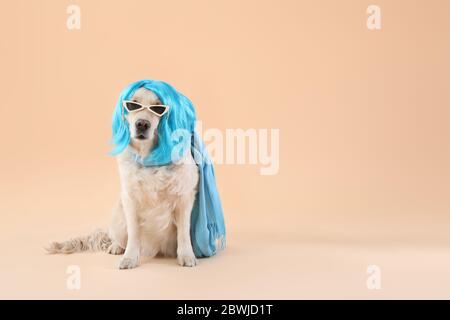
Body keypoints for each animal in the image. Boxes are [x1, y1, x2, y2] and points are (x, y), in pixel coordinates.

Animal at [46, 86, 200, 268]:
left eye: (158, 108)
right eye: (133, 105)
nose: (142, 124)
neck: (149, 156)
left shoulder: (184, 196)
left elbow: (183, 233)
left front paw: (187, 255)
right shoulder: (130, 199)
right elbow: (133, 233)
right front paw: (130, 258)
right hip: (118, 218)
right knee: (118, 237)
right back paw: (116, 247)